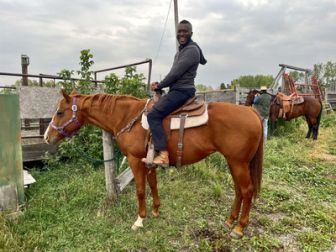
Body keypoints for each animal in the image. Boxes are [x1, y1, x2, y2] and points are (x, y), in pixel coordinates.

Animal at [44, 90, 264, 238]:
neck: (127, 117)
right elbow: (153, 184)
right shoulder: (149, 162)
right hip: (234, 163)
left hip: (238, 163)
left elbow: (141, 189)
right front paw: (156, 210)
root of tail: (252, 112)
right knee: (238, 190)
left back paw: (239, 228)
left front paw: (140, 219)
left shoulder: (135, 160)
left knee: (247, 190)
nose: (47, 137)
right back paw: (230, 220)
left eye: (60, 112)